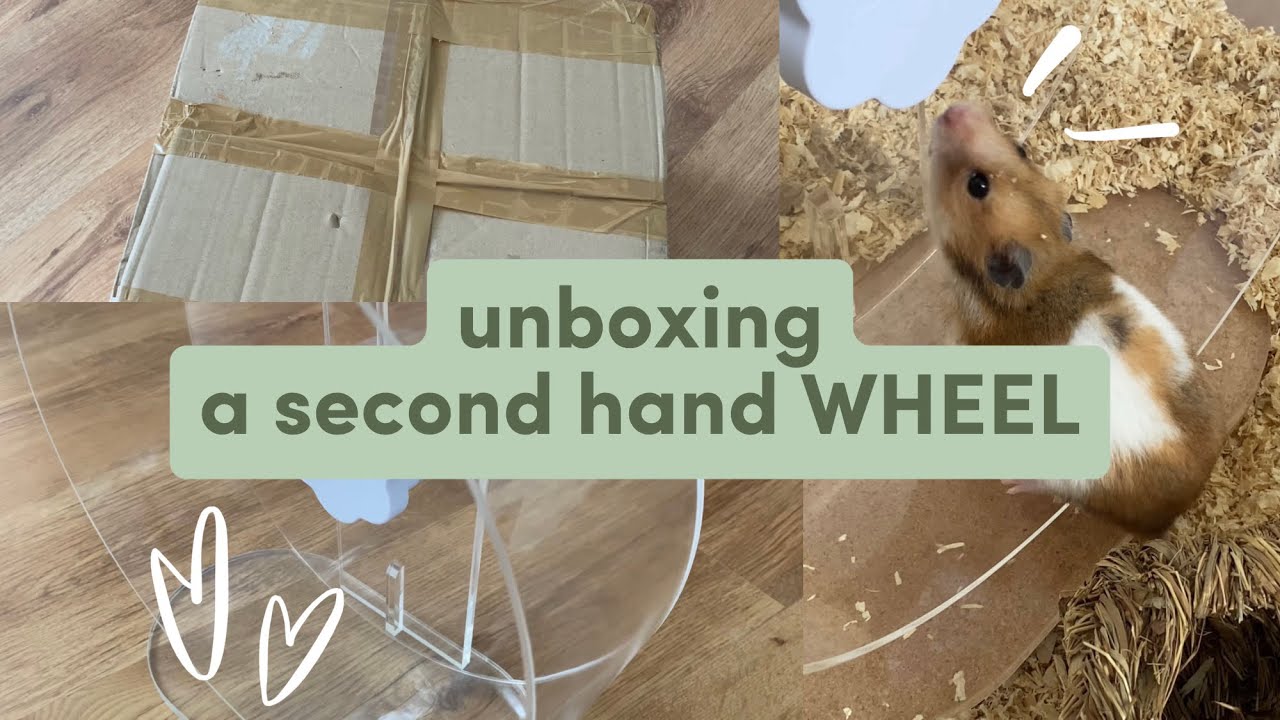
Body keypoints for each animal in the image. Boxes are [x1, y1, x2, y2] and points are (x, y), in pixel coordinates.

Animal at [924, 101, 1217, 539]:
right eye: (1021, 148)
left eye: (978, 185)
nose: (953, 108)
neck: (1043, 269)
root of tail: (1175, 513)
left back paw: (1012, 483)